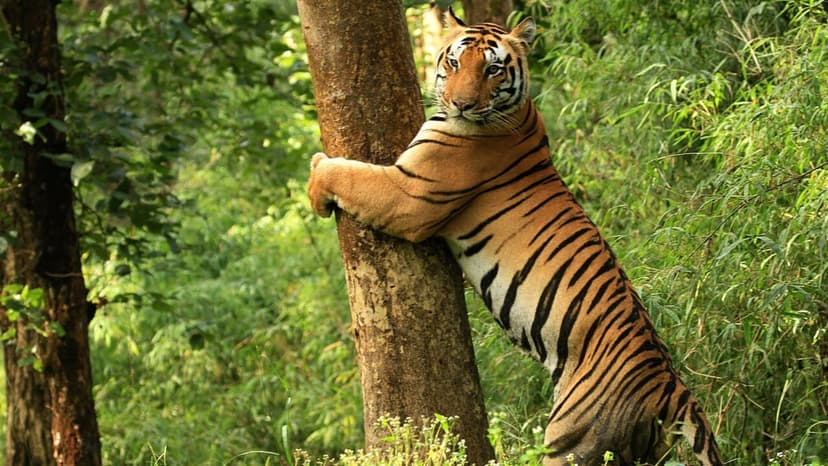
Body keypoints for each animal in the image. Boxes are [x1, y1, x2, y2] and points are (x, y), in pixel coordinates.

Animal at [307, 9, 724, 466]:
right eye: (454, 62)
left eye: (492, 69)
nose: (461, 104)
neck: (518, 113)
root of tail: (672, 388)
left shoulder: (408, 194)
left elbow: (348, 173)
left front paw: (315, 179)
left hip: (573, 440)